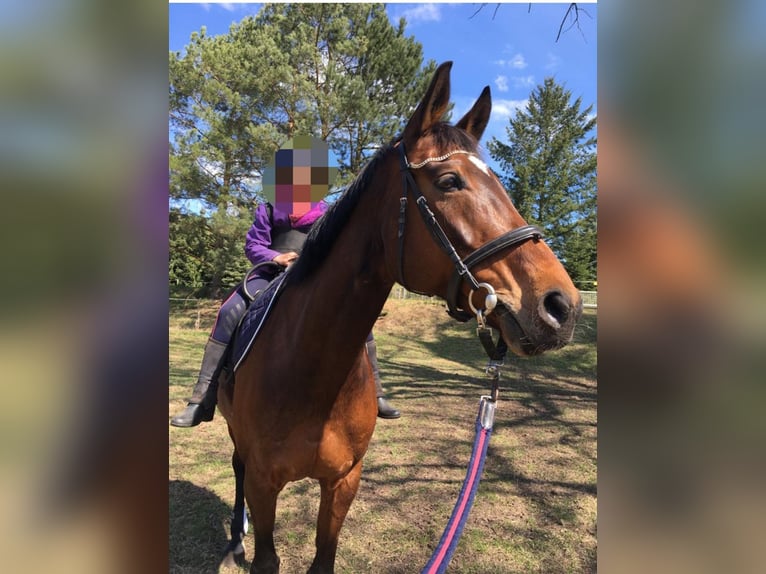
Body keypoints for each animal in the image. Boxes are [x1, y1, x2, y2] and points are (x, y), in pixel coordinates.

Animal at [216, 60, 584, 572]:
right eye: (449, 181)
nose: (562, 306)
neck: (309, 373)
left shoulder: (344, 482)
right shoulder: (262, 484)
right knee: (234, 469)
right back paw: (235, 538)